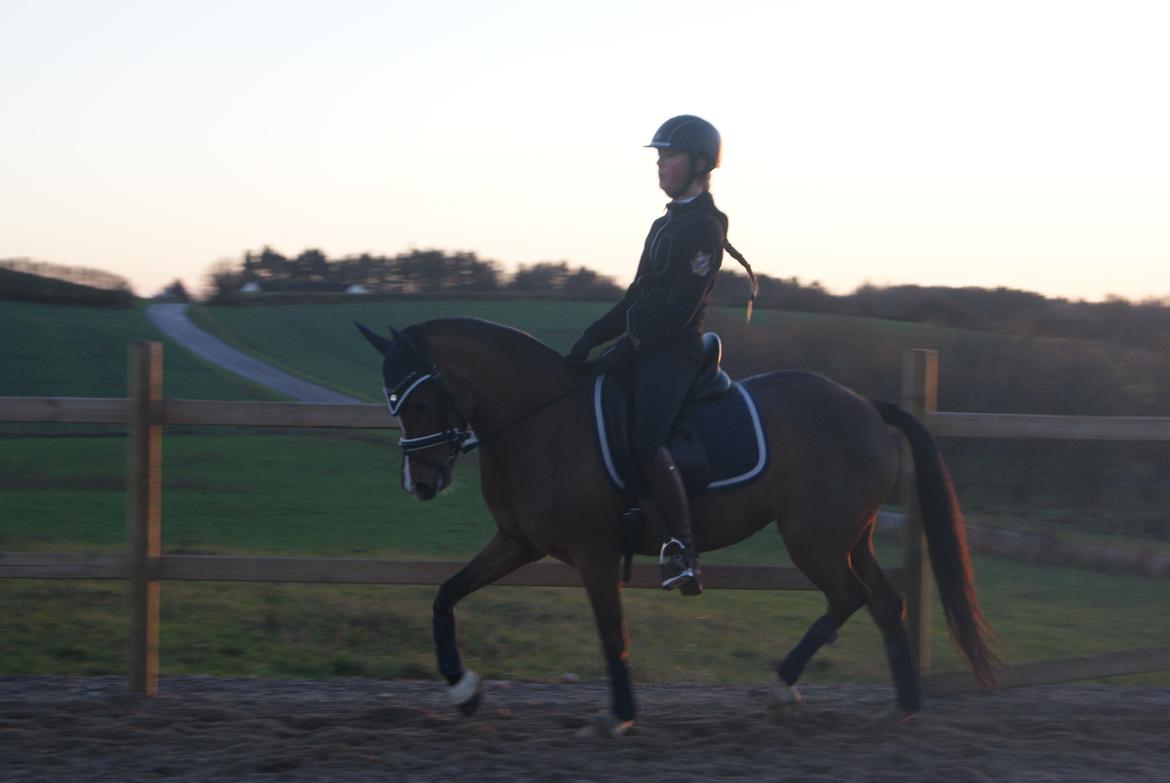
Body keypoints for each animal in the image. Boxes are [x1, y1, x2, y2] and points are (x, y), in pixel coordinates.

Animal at [355, 316, 996, 735]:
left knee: (849, 598)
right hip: (849, 538)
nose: (420, 482)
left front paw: (618, 715)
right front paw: (463, 691)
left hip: (814, 541)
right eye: (393, 403)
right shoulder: (517, 543)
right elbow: (445, 594)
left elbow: (612, 632)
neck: (544, 420)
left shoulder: (593, 553)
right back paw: (901, 705)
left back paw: (783, 687)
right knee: (886, 602)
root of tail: (865, 404)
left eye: (418, 403)